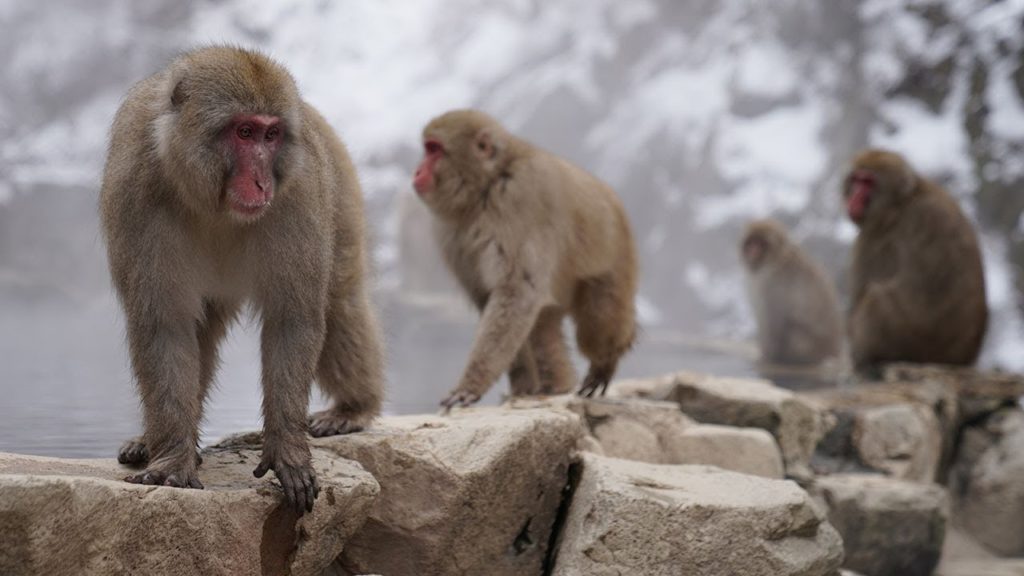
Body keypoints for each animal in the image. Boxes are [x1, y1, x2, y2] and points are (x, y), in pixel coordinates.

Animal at [100, 46, 385, 514]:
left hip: (339, 190)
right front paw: (173, 458)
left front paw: (287, 449)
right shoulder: (135, 188)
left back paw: (353, 408)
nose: (261, 180)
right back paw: (155, 440)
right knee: (203, 329)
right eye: (245, 132)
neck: (211, 201)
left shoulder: (299, 190)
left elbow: (293, 320)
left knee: (340, 299)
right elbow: (165, 327)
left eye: (271, 137)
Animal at [411, 110, 638, 407]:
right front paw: (521, 384)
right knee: (542, 324)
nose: (417, 170)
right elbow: (492, 298)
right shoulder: (451, 234)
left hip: (615, 257)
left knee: (598, 319)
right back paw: (555, 385)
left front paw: (470, 385)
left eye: (434, 149)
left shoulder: (517, 199)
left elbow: (516, 291)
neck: (485, 188)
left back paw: (607, 360)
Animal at [740, 219, 842, 366]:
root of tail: (834, 352)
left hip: (812, 346)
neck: (775, 261)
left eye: (761, 244)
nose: (752, 251)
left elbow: (774, 320)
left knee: (792, 330)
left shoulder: (772, 285)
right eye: (751, 242)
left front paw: (766, 357)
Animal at [842, 149, 988, 371]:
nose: (854, 198)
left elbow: (860, 295)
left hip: (909, 341)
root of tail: (958, 359)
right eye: (856, 179)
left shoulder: (872, 238)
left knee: (875, 299)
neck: (903, 201)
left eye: (868, 182)